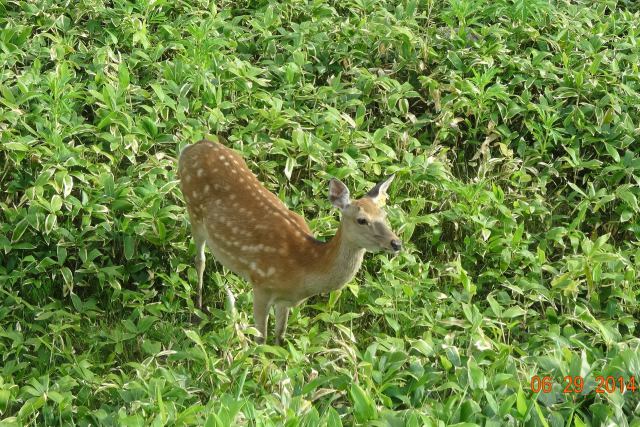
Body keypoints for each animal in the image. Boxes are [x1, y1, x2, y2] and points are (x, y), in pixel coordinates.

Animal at [178, 139, 402, 346]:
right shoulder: (260, 284)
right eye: (362, 220)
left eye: (384, 215)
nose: (396, 243)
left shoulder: (285, 300)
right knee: (200, 259)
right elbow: (261, 338)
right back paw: (197, 310)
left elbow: (280, 334)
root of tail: (191, 147)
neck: (304, 265)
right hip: (193, 210)